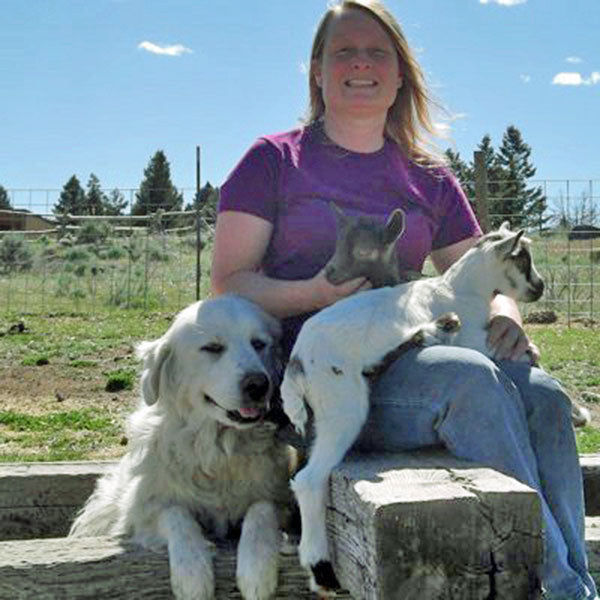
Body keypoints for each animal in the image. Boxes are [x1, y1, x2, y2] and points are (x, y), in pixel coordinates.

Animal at [71, 294, 296, 600]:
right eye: (212, 348)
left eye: (259, 344)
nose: (259, 385)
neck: (217, 448)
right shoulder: (141, 511)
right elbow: (176, 515)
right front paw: (192, 574)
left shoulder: (279, 500)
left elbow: (261, 511)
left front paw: (256, 571)